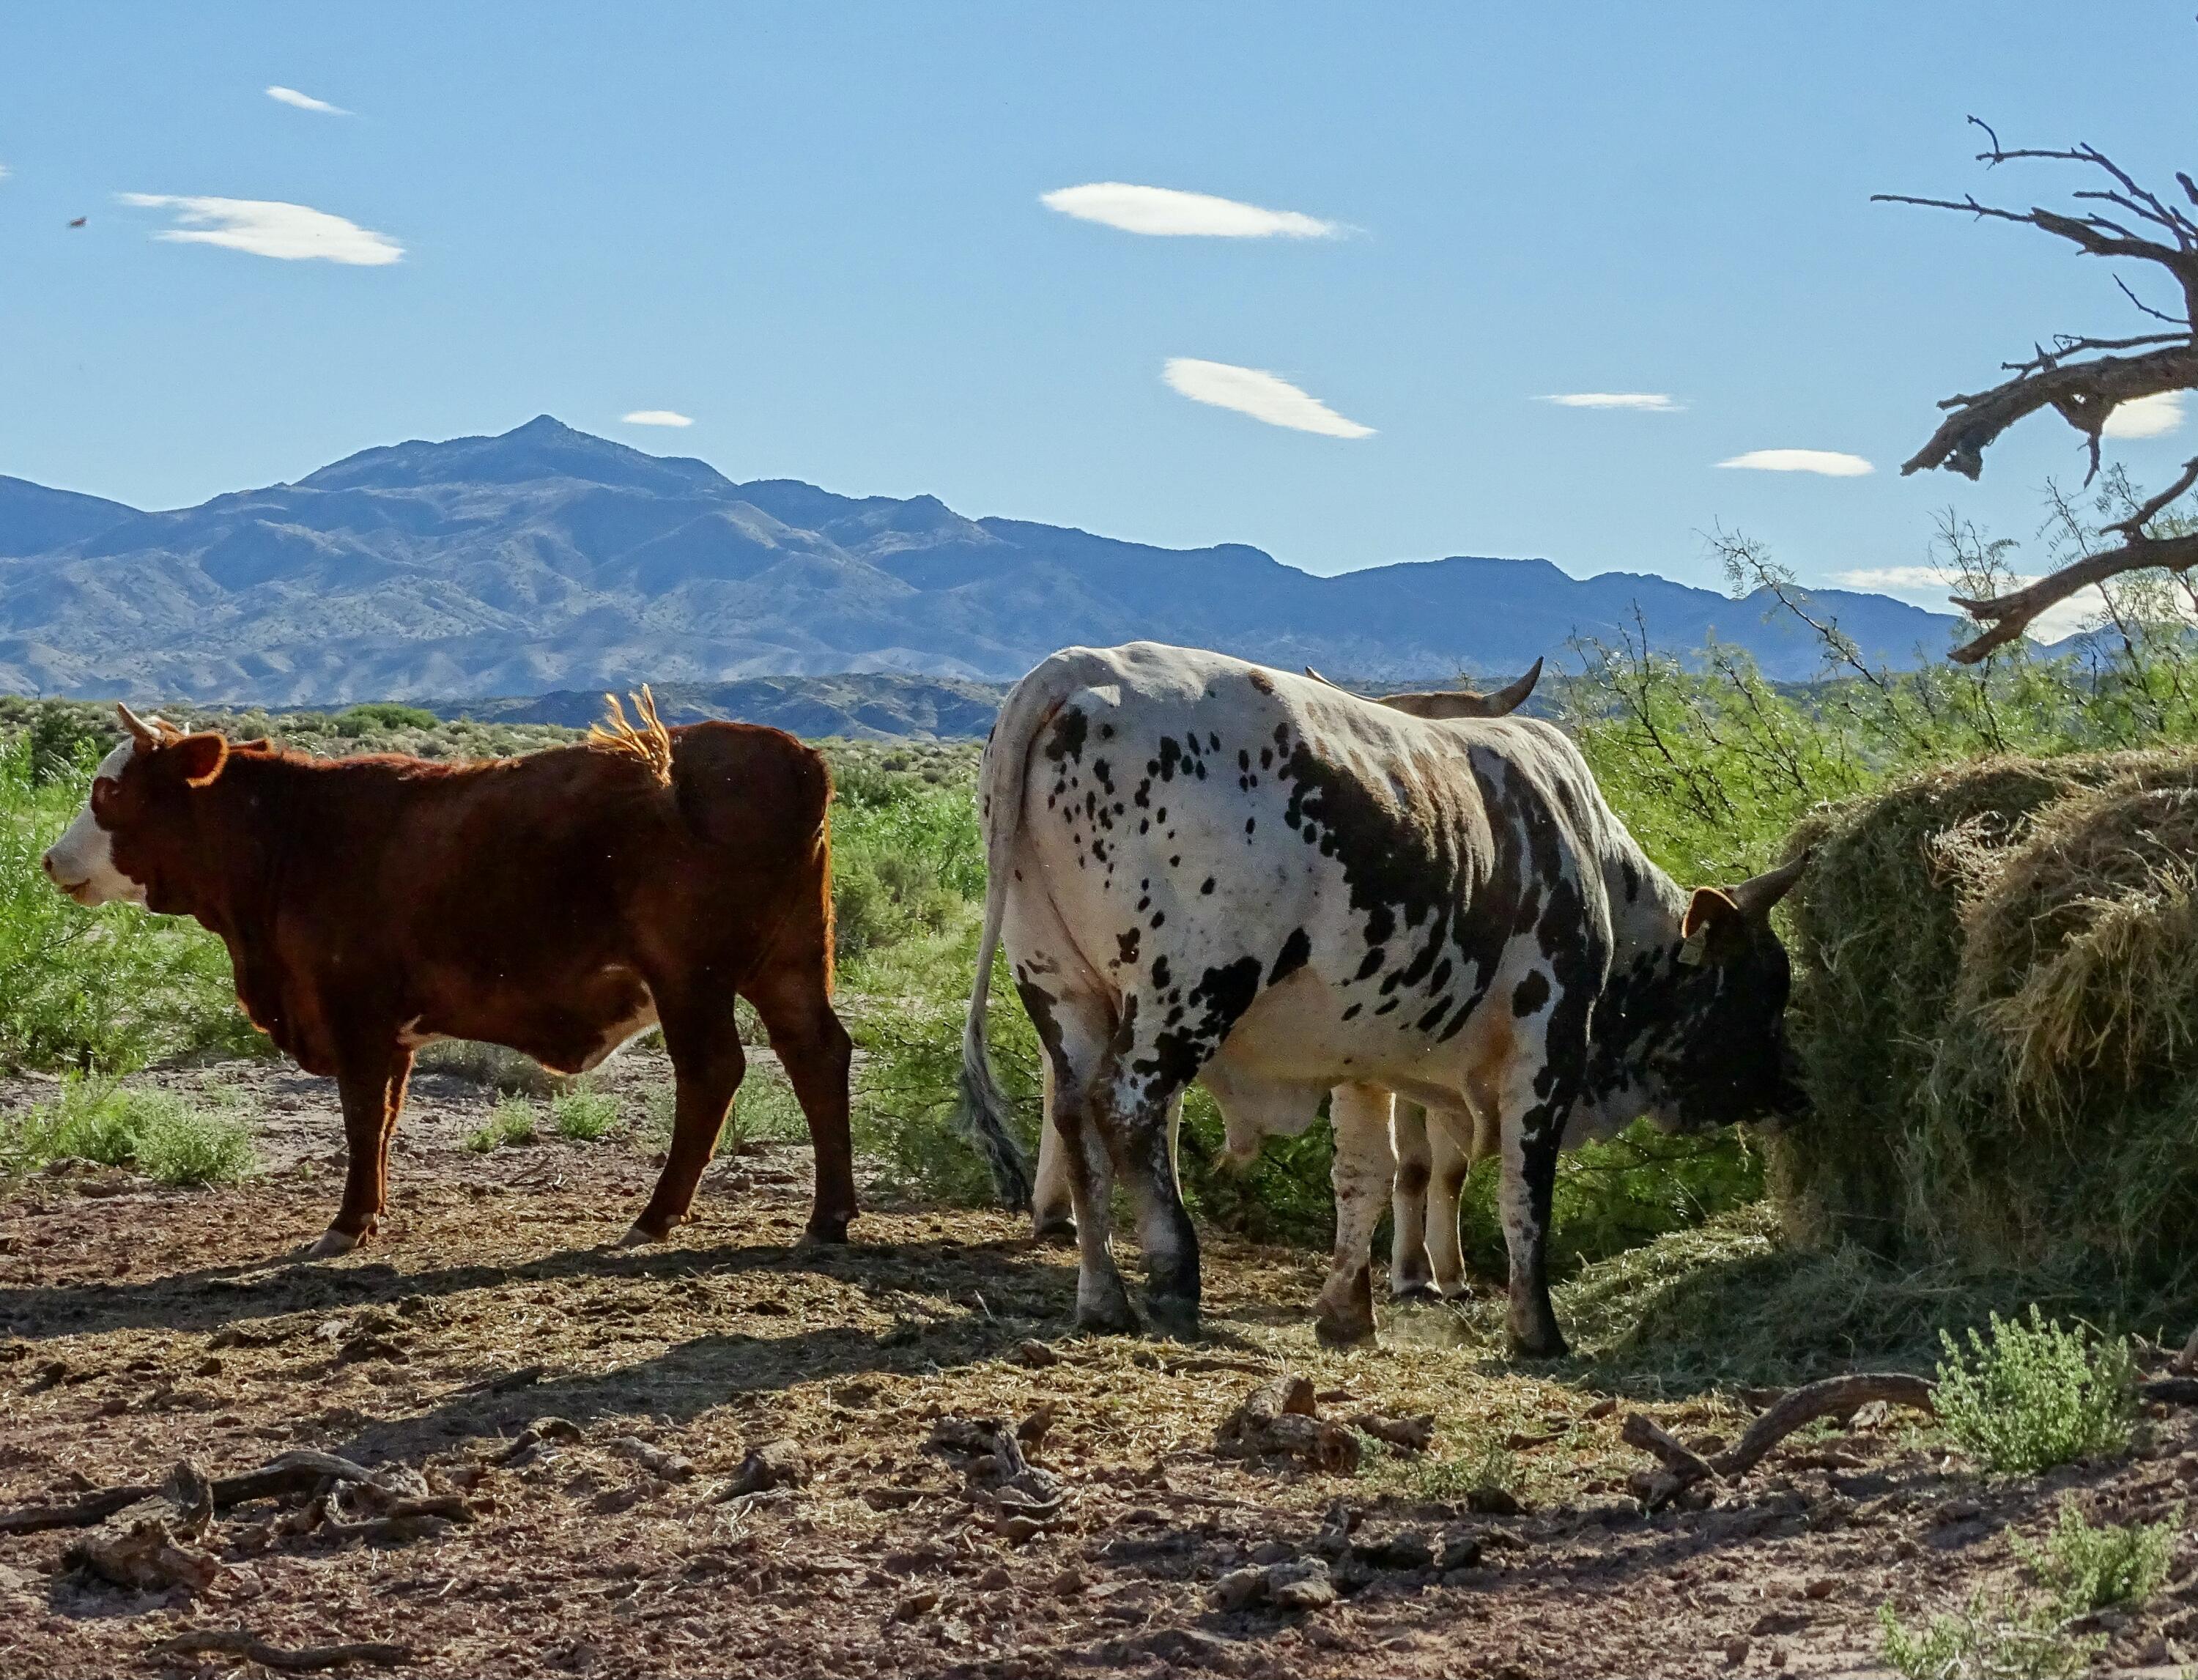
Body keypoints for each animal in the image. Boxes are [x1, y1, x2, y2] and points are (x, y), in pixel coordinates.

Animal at [40, 690, 857, 1257]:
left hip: (692, 975)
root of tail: (795, 757)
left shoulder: (355, 1013)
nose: (51, 859)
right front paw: (368, 1215)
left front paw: (345, 1223)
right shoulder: (391, 1029)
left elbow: (362, 1114)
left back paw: (655, 1218)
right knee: (817, 1052)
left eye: (112, 792)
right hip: (789, 962)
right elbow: (385, 1117)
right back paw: (828, 1216)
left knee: (713, 1071)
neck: (292, 834)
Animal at [963, 637, 1802, 1354]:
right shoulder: (1549, 1042)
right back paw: (1174, 1282)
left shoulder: (1361, 1056)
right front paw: (1535, 1329)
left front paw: (1347, 1312)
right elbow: (1525, 1188)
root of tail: (1078, 668)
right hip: (1188, 992)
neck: (1589, 857)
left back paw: (1103, 1296)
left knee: (1073, 1116)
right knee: (1128, 1112)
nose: (1789, 1091)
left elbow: (1367, 1175)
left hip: (1060, 987)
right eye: (1765, 985)